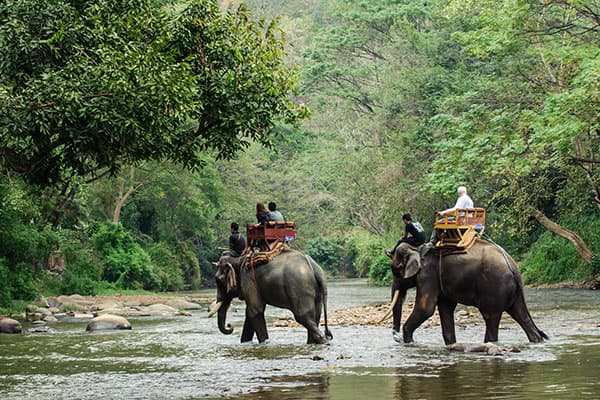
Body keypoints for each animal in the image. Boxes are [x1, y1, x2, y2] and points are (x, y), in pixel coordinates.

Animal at [384, 239, 548, 346]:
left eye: (396, 270)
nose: (396, 337)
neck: (416, 248)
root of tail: (512, 266)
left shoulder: (427, 275)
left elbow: (426, 309)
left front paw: (409, 342)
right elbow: (445, 308)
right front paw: (451, 345)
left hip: (494, 288)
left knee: (490, 317)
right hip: (514, 292)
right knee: (520, 314)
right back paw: (536, 340)